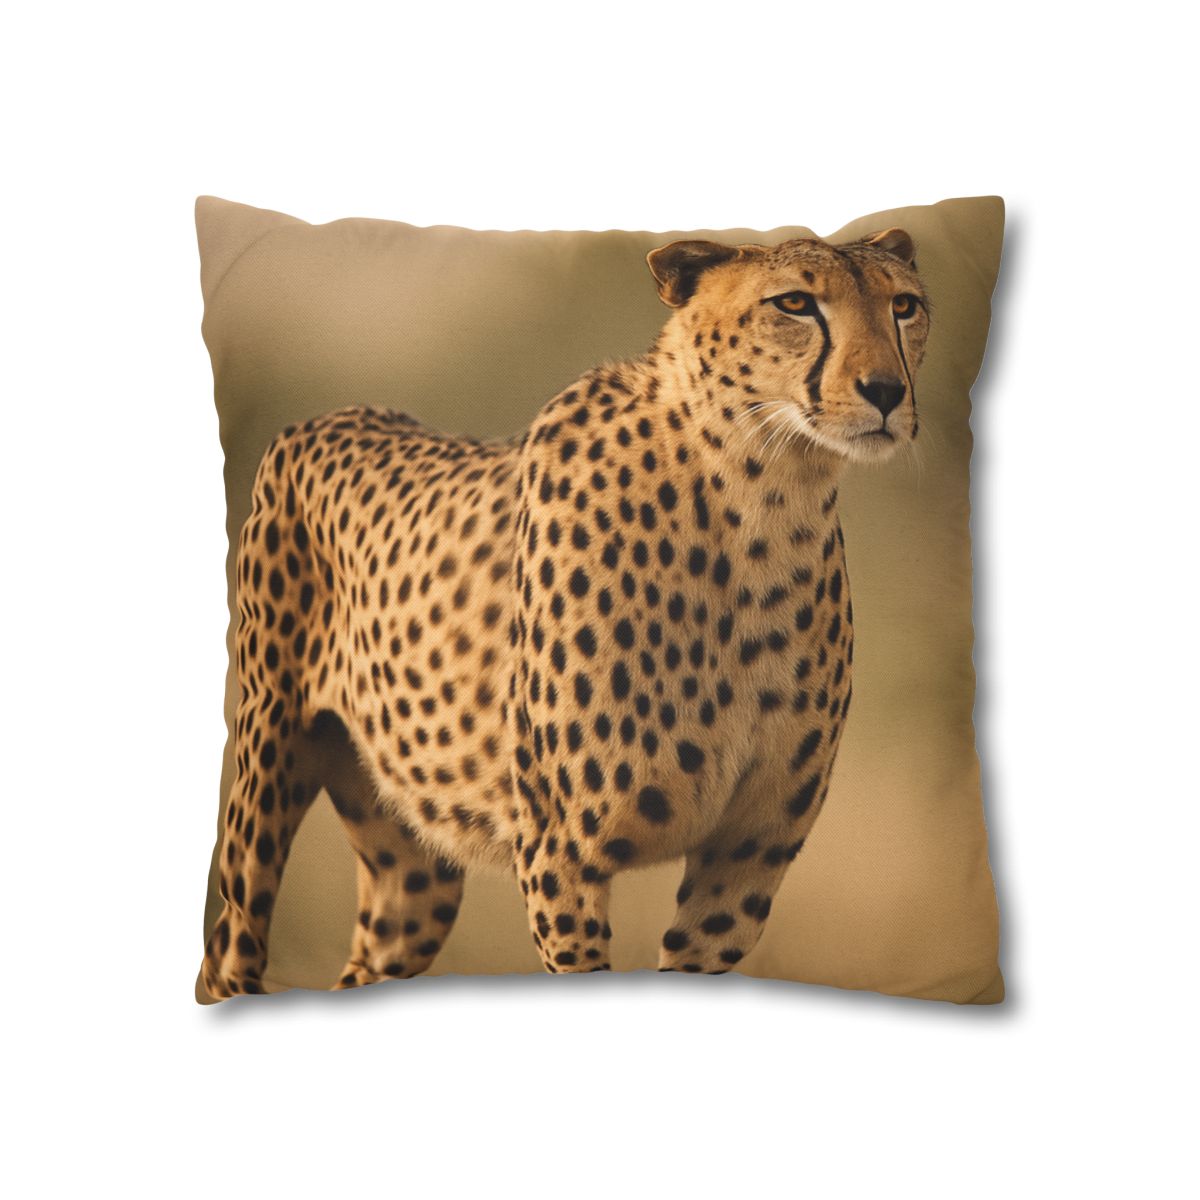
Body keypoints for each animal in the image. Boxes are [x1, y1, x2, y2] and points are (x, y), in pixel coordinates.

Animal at [201, 226, 930, 997]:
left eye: (904, 306)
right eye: (794, 303)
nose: (886, 392)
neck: (762, 500)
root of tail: (332, 415)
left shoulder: (746, 856)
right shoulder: (562, 852)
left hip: (414, 871)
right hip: (267, 769)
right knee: (231, 948)